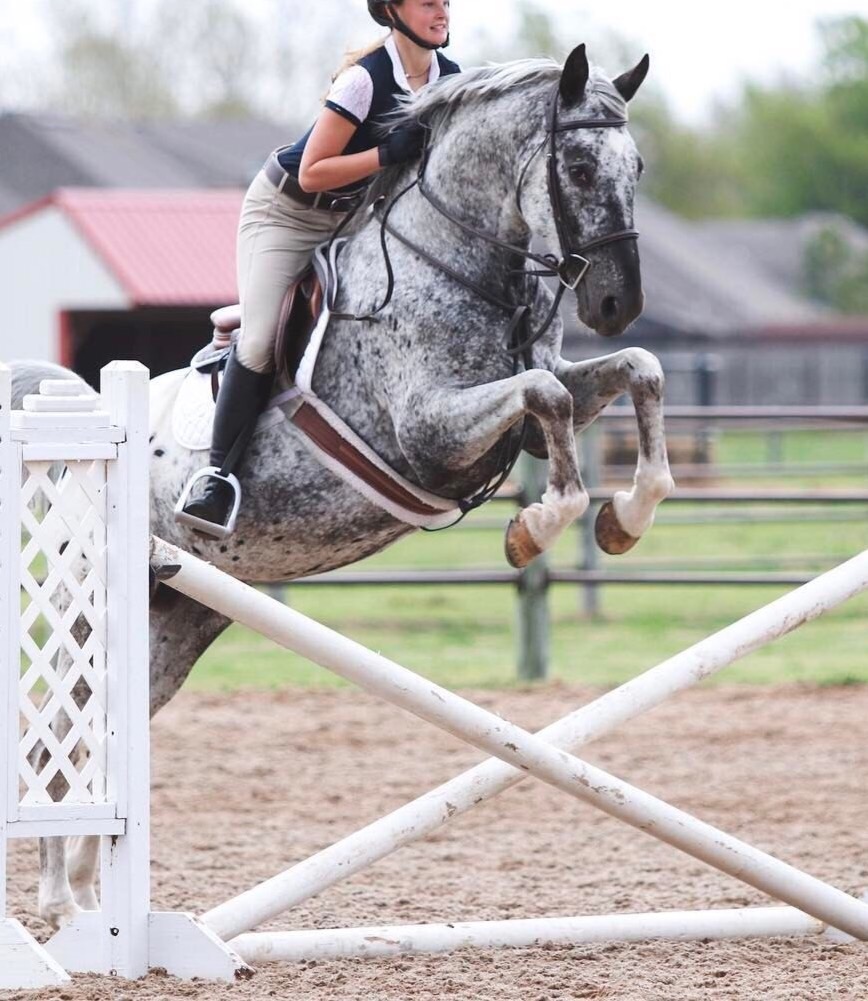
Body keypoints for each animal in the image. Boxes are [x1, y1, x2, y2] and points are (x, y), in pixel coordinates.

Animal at [11, 45, 674, 931]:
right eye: (577, 165)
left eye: (638, 167)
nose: (614, 302)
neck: (466, 265)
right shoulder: (430, 432)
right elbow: (551, 401)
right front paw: (532, 529)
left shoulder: (535, 407)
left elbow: (635, 371)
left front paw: (625, 518)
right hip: (93, 605)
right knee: (59, 726)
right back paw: (62, 900)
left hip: (176, 618)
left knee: (105, 726)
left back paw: (89, 896)